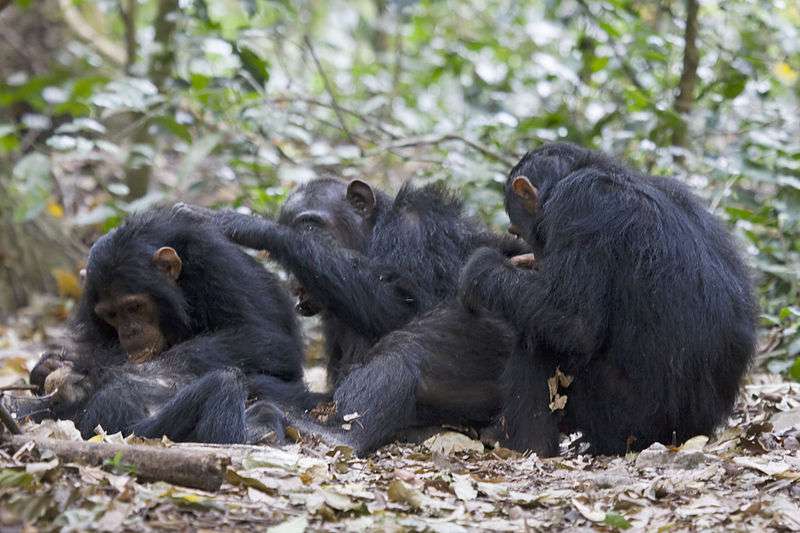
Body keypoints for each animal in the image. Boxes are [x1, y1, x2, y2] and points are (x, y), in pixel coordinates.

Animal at [22, 206, 304, 442]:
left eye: (134, 307)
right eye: (111, 315)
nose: (130, 331)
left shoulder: (217, 265)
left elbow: (266, 339)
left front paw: (131, 371)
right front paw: (49, 366)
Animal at [184, 180, 528, 454]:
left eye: (309, 226)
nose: (294, 282)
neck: (374, 235)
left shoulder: (417, 230)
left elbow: (409, 304)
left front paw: (253, 227)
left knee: (411, 344)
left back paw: (338, 436)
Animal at [456, 143, 756, 456]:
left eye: (516, 230)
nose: (536, 253)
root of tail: (693, 432)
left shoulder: (577, 205)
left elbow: (572, 322)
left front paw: (482, 268)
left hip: (627, 423)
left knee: (538, 341)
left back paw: (523, 445)